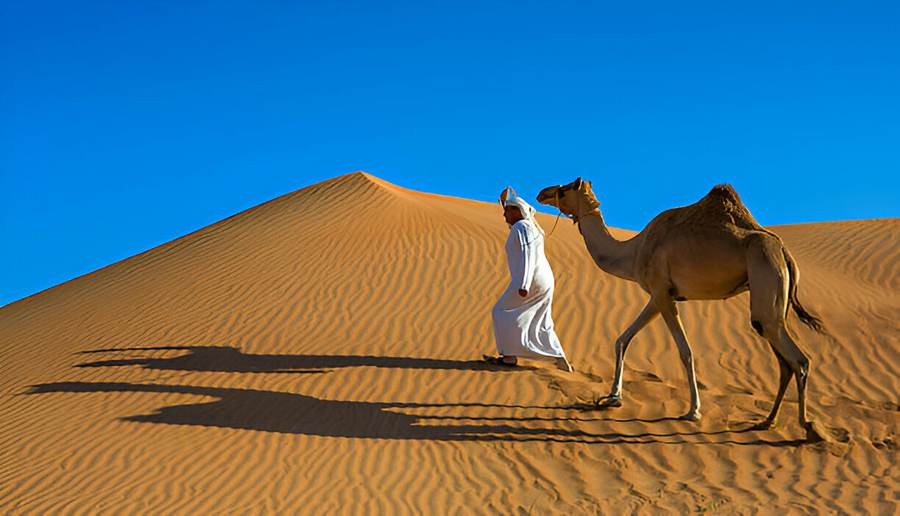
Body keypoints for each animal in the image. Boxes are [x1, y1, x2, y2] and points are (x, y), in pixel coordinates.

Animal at [536, 178, 827, 442]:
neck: (634, 251)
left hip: (766, 277)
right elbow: (622, 339)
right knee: (784, 362)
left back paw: (809, 428)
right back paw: (767, 421)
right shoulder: (659, 296)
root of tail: (785, 252)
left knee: (798, 359)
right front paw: (612, 397)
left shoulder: (662, 293)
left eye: (565, 188)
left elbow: (685, 351)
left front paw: (693, 411)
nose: (542, 192)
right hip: (774, 301)